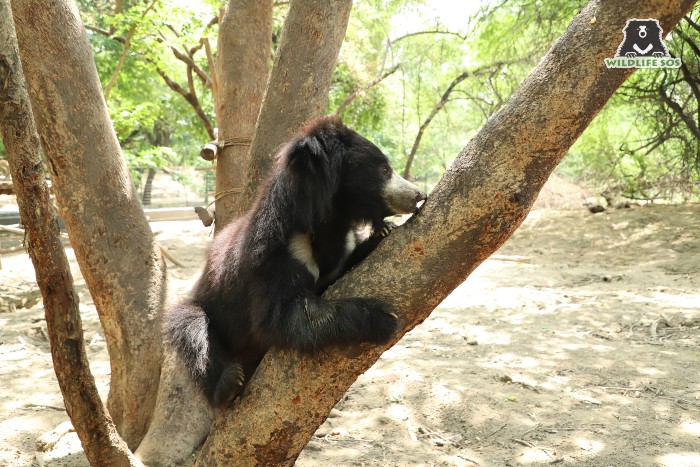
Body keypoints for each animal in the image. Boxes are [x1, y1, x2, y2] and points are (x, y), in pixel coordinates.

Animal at [166, 116, 426, 406]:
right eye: (384, 169)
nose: (419, 194)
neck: (330, 222)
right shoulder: (276, 254)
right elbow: (283, 317)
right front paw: (381, 316)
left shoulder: (338, 247)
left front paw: (381, 233)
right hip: (206, 311)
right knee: (194, 332)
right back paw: (228, 384)